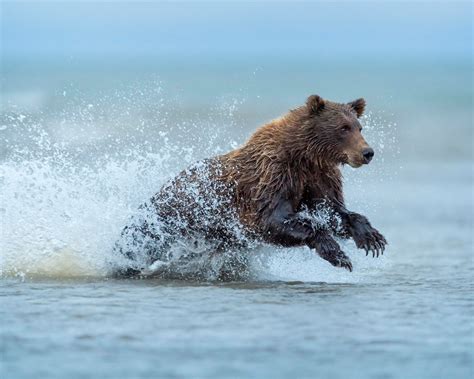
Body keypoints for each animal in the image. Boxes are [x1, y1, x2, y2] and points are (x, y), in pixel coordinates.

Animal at [113, 94, 386, 280]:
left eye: (359, 126)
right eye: (343, 128)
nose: (367, 152)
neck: (305, 156)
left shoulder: (318, 177)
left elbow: (332, 210)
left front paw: (372, 238)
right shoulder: (272, 178)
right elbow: (274, 219)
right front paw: (337, 253)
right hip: (163, 223)